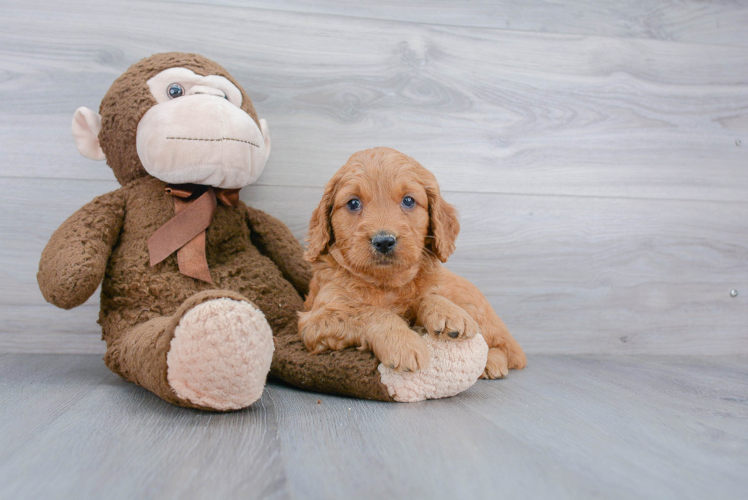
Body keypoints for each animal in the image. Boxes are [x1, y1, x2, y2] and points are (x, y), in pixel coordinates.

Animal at [298, 148, 524, 378]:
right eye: (353, 203)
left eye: (408, 201)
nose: (384, 241)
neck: (386, 283)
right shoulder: (316, 318)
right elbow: (369, 312)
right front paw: (404, 343)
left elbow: (426, 296)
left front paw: (448, 312)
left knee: (507, 349)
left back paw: (491, 363)